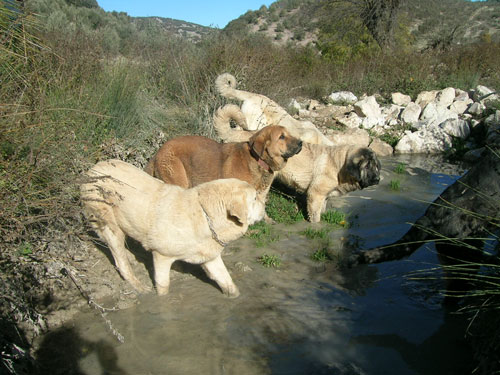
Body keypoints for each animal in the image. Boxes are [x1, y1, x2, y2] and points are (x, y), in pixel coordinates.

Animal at [80, 160, 266, 298]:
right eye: (254, 198)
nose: (265, 206)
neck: (205, 216)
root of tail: (92, 169)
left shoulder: (210, 257)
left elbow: (227, 280)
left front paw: (235, 296)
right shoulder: (161, 255)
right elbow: (163, 286)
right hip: (107, 222)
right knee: (119, 259)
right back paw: (139, 286)